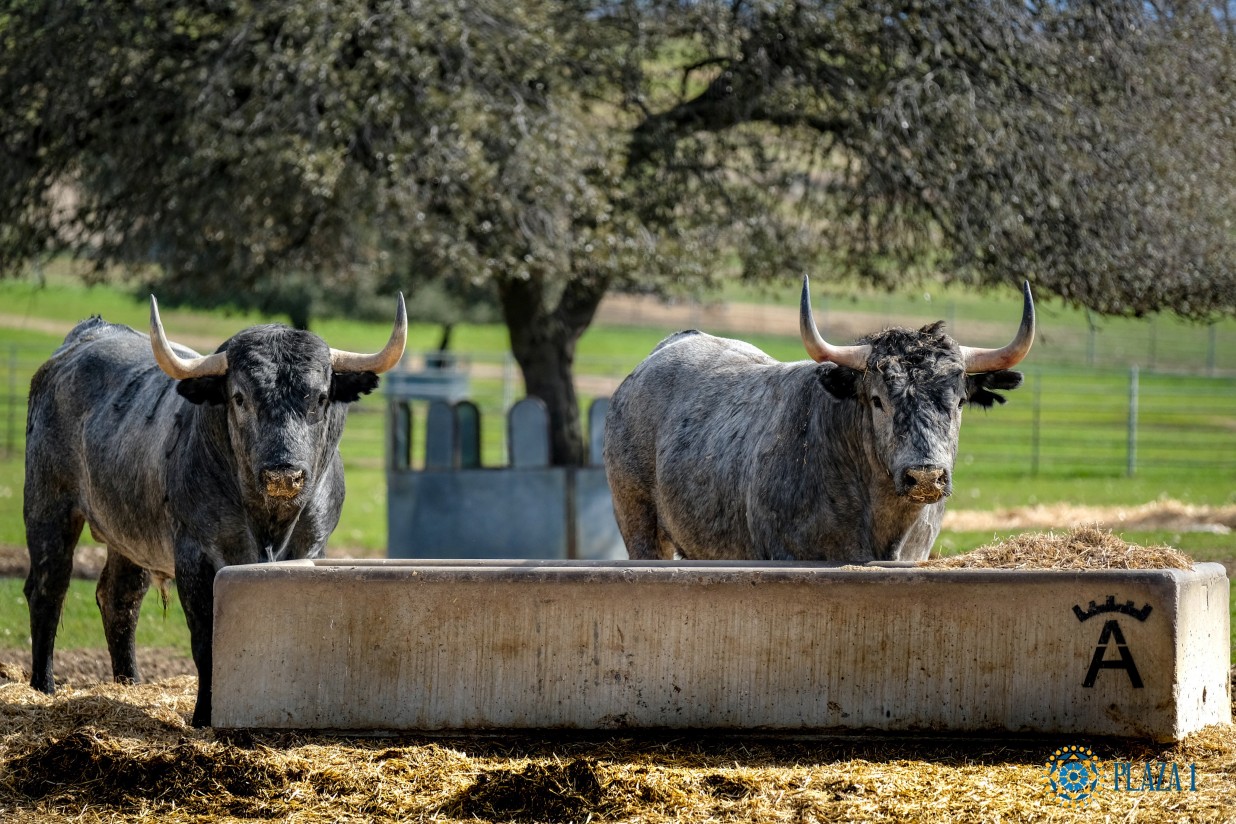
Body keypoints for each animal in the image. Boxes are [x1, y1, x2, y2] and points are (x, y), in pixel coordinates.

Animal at [22, 300, 405, 726]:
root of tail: (85, 336)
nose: (283, 474)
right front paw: (204, 715)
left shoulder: (310, 549)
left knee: (119, 599)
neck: (268, 522)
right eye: (239, 397)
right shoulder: (197, 556)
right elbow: (206, 642)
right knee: (48, 588)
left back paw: (129, 685)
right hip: (48, 505)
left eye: (320, 398)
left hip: (128, 535)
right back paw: (43, 688)